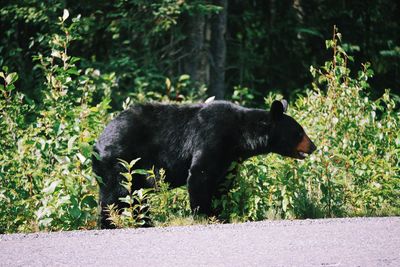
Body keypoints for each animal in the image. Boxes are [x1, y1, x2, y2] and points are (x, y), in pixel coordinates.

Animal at [93, 99, 316, 229]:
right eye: (299, 132)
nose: (313, 146)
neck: (241, 136)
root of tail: (98, 141)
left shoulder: (230, 157)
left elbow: (222, 182)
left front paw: (220, 213)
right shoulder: (212, 136)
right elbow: (201, 174)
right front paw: (203, 215)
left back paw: (145, 222)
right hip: (120, 161)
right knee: (116, 194)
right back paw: (111, 223)